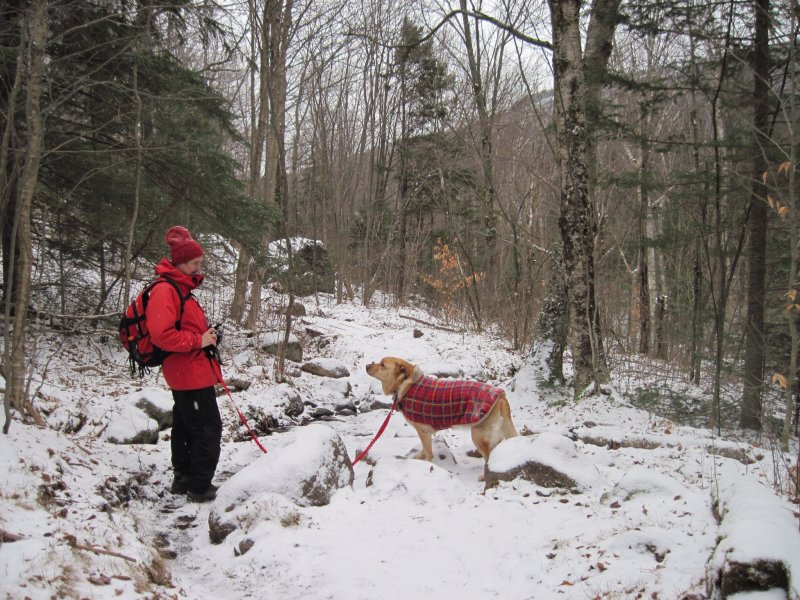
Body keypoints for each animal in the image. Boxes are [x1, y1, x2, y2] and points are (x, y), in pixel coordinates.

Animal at [364, 358, 520, 462]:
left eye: (382, 365)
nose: (366, 365)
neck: (406, 385)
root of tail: (501, 396)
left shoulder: (423, 431)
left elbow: (428, 453)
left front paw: (427, 463)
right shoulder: (425, 433)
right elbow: (424, 449)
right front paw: (419, 457)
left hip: (478, 435)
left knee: (488, 457)